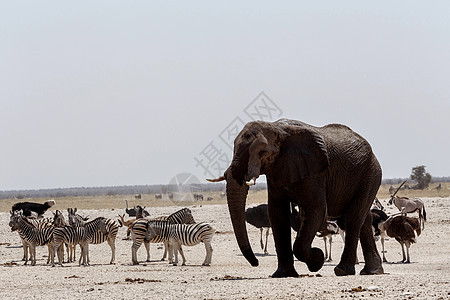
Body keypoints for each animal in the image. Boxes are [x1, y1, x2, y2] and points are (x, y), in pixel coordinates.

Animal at [207, 118, 384, 278]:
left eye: (262, 152)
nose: (256, 263)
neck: (277, 128)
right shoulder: (277, 170)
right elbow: (276, 213)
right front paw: (283, 274)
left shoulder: (315, 172)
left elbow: (317, 209)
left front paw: (317, 259)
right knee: (363, 219)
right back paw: (372, 271)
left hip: (371, 174)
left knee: (354, 218)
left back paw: (343, 271)